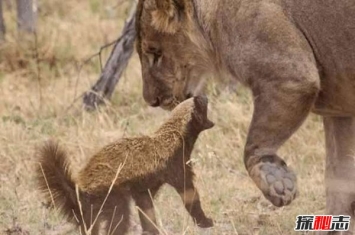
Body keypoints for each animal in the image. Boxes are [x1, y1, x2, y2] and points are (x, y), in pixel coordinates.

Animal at [36, 96, 214, 235]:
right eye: (201, 103)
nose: (204, 95)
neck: (176, 134)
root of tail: (78, 189)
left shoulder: (143, 187)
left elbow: (146, 208)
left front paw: (151, 230)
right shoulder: (176, 165)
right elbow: (189, 194)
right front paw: (206, 222)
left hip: (90, 211)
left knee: (91, 227)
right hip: (112, 195)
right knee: (118, 220)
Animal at [137, 0, 355, 233]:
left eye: (155, 53)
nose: (151, 100)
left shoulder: (291, 77)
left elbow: (256, 142)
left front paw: (276, 180)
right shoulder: (340, 111)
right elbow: (338, 177)